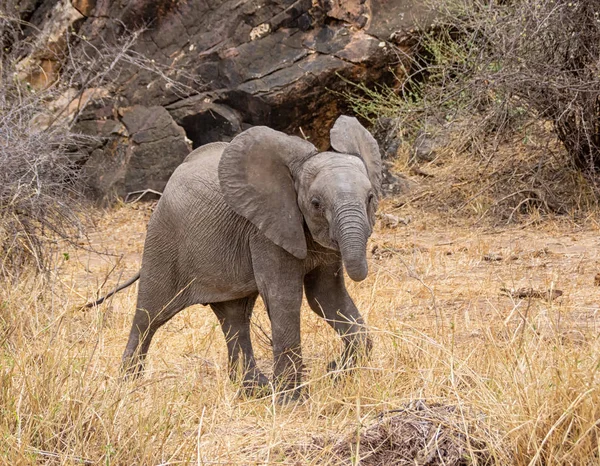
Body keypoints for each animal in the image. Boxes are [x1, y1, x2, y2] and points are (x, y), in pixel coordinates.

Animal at [94, 114, 384, 400]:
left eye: (370, 197)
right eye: (316, 204)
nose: (332, 365)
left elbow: (326, 296)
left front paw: (337, 373)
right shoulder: (264, 231)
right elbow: (285, 298)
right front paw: (291, 400)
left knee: (234, 317)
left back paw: (254, 390)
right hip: (162, 239)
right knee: (149, 316)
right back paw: (127, 386)